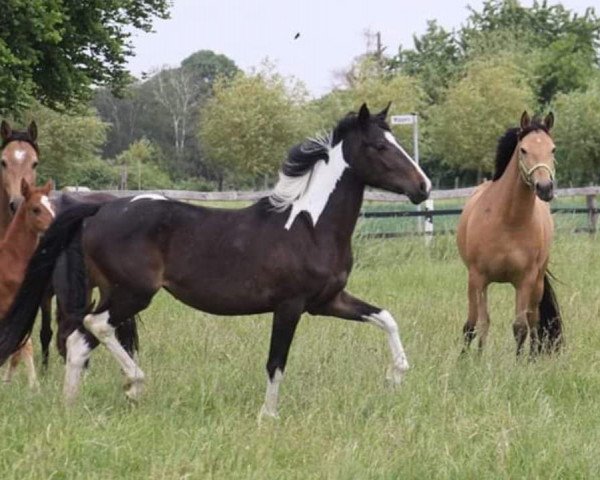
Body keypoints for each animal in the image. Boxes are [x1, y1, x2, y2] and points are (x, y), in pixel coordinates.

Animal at [0, 178, 54, 388]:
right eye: (36, 209)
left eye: (52, 205)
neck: (12, 259)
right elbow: (23, 345)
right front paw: (34, 385)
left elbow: (19, 346)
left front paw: (7, 382)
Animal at [460, 111, 564, 356]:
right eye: (523, 150)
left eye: (553, 149)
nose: (545, 188)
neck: (508, 221)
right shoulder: (477, 278)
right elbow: (476, 324)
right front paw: (472, 360)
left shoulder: (525, 281)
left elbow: (520, 327)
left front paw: (518, 362)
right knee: (477, 322)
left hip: (537, 283)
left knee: (534, 321)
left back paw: (533, 357)